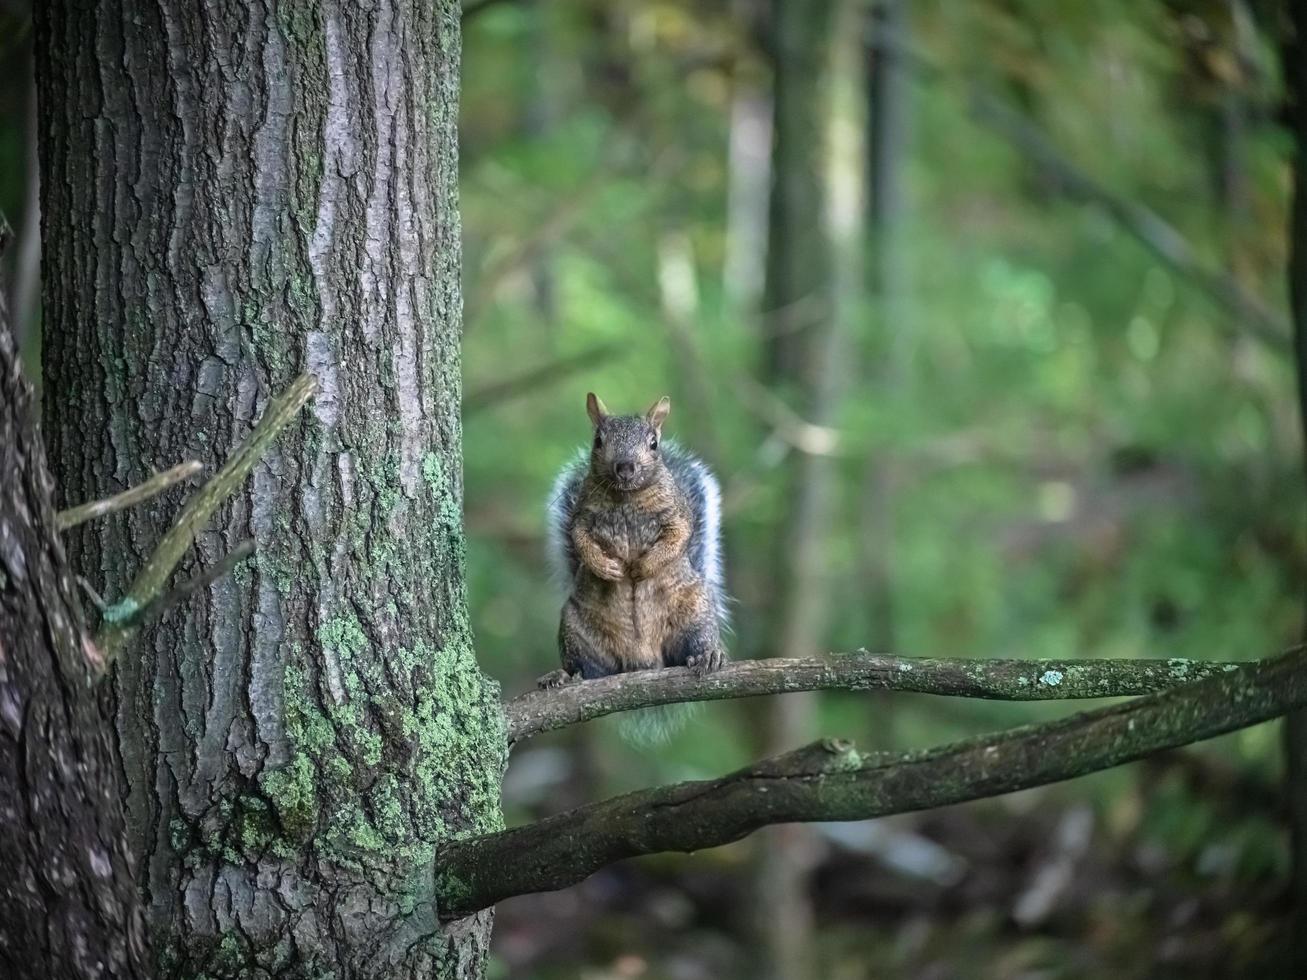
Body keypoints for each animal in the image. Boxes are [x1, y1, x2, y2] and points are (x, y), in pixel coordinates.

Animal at [535, 391, 731, 689]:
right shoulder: (582, 518)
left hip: (696, 613)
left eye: (654, 443)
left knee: (695, 644)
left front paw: (644, 567)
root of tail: (642, 660)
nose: (625, 467)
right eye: (598, 440)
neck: (626, 496)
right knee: (589, 669)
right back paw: (563, 675)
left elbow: (678, 537)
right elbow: (580, 541)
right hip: (576, 632)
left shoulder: (677, 514)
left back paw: (708, 655)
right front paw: (605, 567)